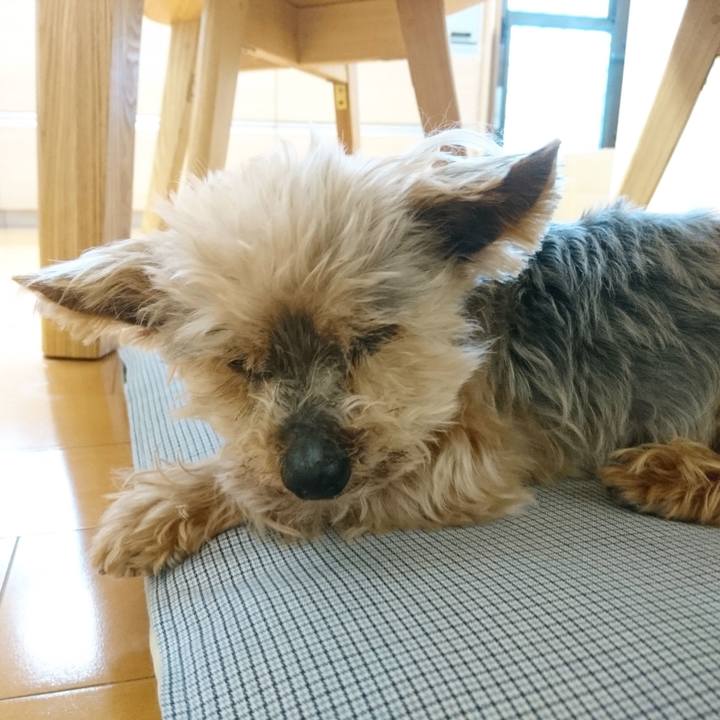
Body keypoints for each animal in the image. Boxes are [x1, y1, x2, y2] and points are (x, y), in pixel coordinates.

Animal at [16, 131, 720, 577]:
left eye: (373, 339)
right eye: (237, 365)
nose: (315, 474)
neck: (470, 347)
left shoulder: (464, 468)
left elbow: (252, 485)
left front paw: (161, 501)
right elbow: (255, 470)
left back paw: (670, 474)